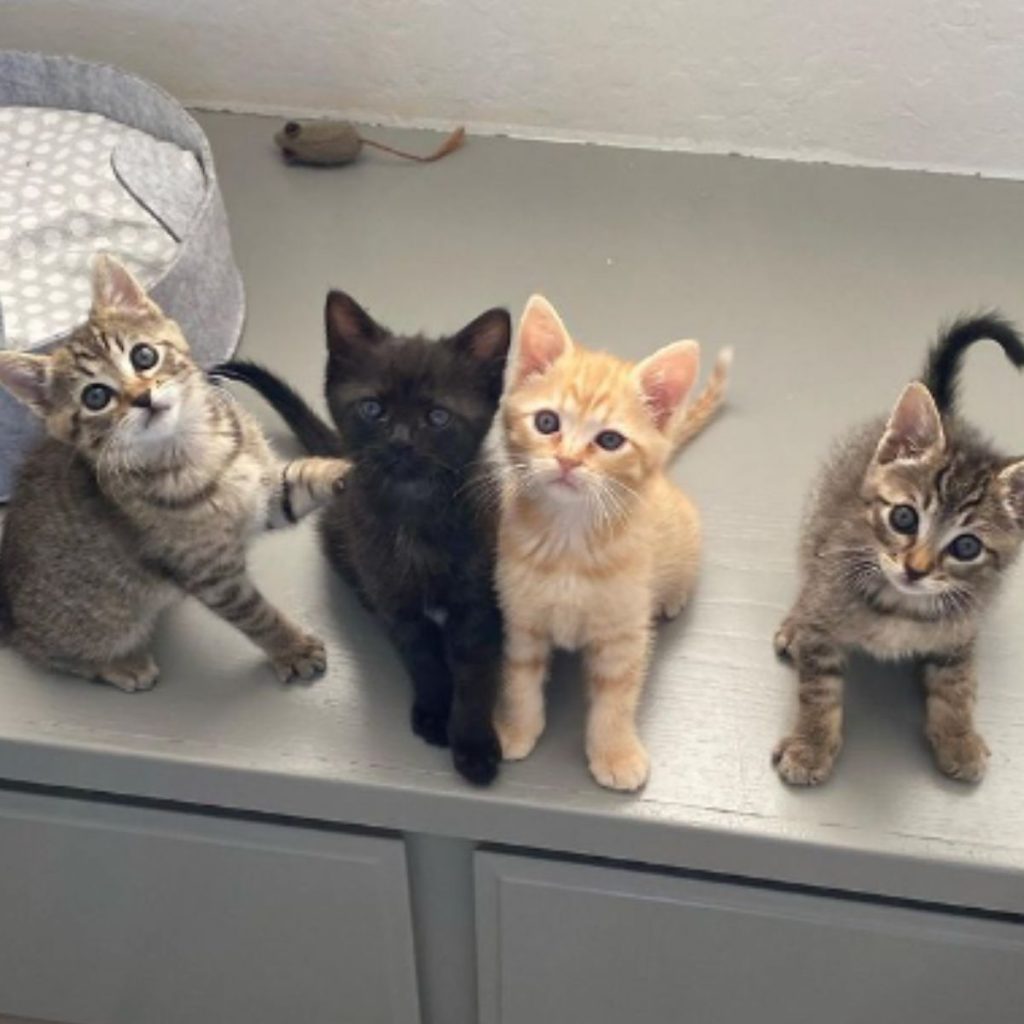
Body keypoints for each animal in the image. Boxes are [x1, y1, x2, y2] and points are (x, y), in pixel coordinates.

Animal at [0, 252, 350, 692]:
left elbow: (304, 478)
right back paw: (121, 665)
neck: (198, 451)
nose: (142, 397)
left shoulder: (265, 494)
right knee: (47, 652)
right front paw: (291, 648)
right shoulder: (209, 574)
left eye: (143, 356)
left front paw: (348, 468)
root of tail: (9, 611)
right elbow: (256, 616)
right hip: (104, 620)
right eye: (95, 396)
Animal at [220, 292, 516, 786]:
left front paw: (474, 744)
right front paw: (434, 711)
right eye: (373, 409)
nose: (400, 441)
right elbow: (422, 657)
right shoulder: (393, 599)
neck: (413, 514)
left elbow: (476, 671)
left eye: (437, 416)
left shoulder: (478, 599)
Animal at [493, 296, 729, 790]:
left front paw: (615, 753)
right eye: (547, 422)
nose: (567, 460)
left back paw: (674, 597)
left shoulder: (625, 635)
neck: (568, 541)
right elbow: (519, 680)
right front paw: (515, 728)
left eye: (609, 440)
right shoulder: (520, 620)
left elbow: (615, 700)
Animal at [774, 315, 1024, 786]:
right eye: (904, 519)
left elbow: (956, 686)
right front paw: (810, 746)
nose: (916, 569)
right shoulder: (825, 619)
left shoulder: (960, 633)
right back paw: (793, 622)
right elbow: (818, 690)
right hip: (816, 522)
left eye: (967, 546)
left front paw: (959, 738)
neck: (902, 607)